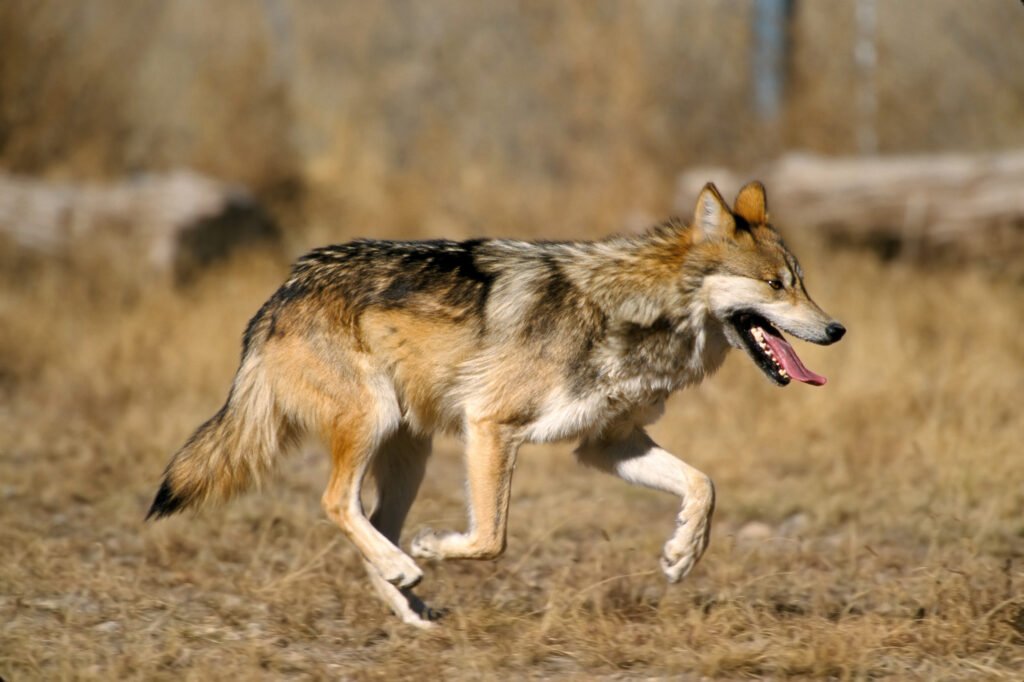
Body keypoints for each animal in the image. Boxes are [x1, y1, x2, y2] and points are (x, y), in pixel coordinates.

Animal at [147, 181, 845, 627]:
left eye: (803, 283)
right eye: (776, 285)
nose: (837, 329)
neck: (635, 312)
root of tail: (282, 291)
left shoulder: (606, 445)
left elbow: (704, 485)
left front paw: (681, 555)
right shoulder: (491, 427)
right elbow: (491, 539)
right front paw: (435, 547)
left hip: (411, 453)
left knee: (371, 522)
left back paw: (410, 604)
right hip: (375, 424)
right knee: (337, 504)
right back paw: (408, 566)